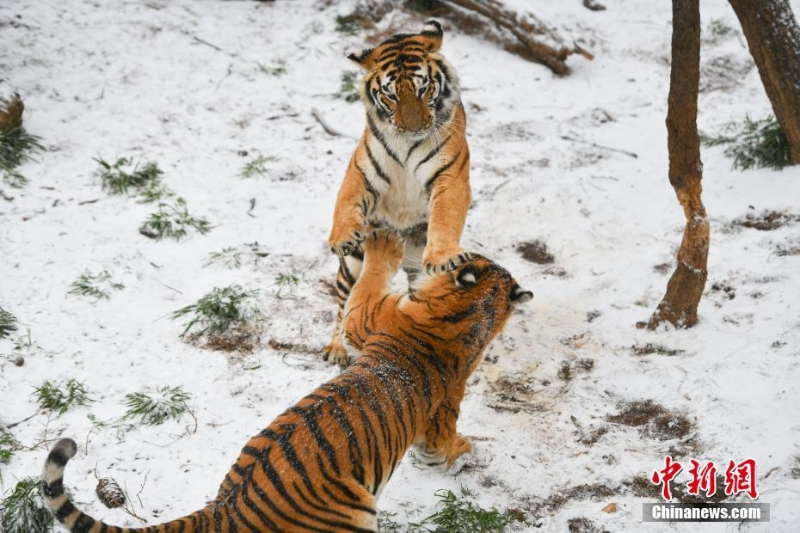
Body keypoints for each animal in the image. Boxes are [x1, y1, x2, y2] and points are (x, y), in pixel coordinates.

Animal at [41, 230, 532, 533]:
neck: (464, 312)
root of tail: (226, 505)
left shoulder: (368, 322)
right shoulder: (373, 325)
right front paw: (383, 240)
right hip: (358, 513)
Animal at [325, 20, 472, 365]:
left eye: (423, 88)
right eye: (390, 95)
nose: (413, 128)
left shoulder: (450, 175)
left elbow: (446, 216)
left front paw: (444, 256)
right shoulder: (360, 170)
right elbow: (346, 201)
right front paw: (341, 237)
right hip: (352, 265)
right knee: (343, 302)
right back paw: (337, 348)